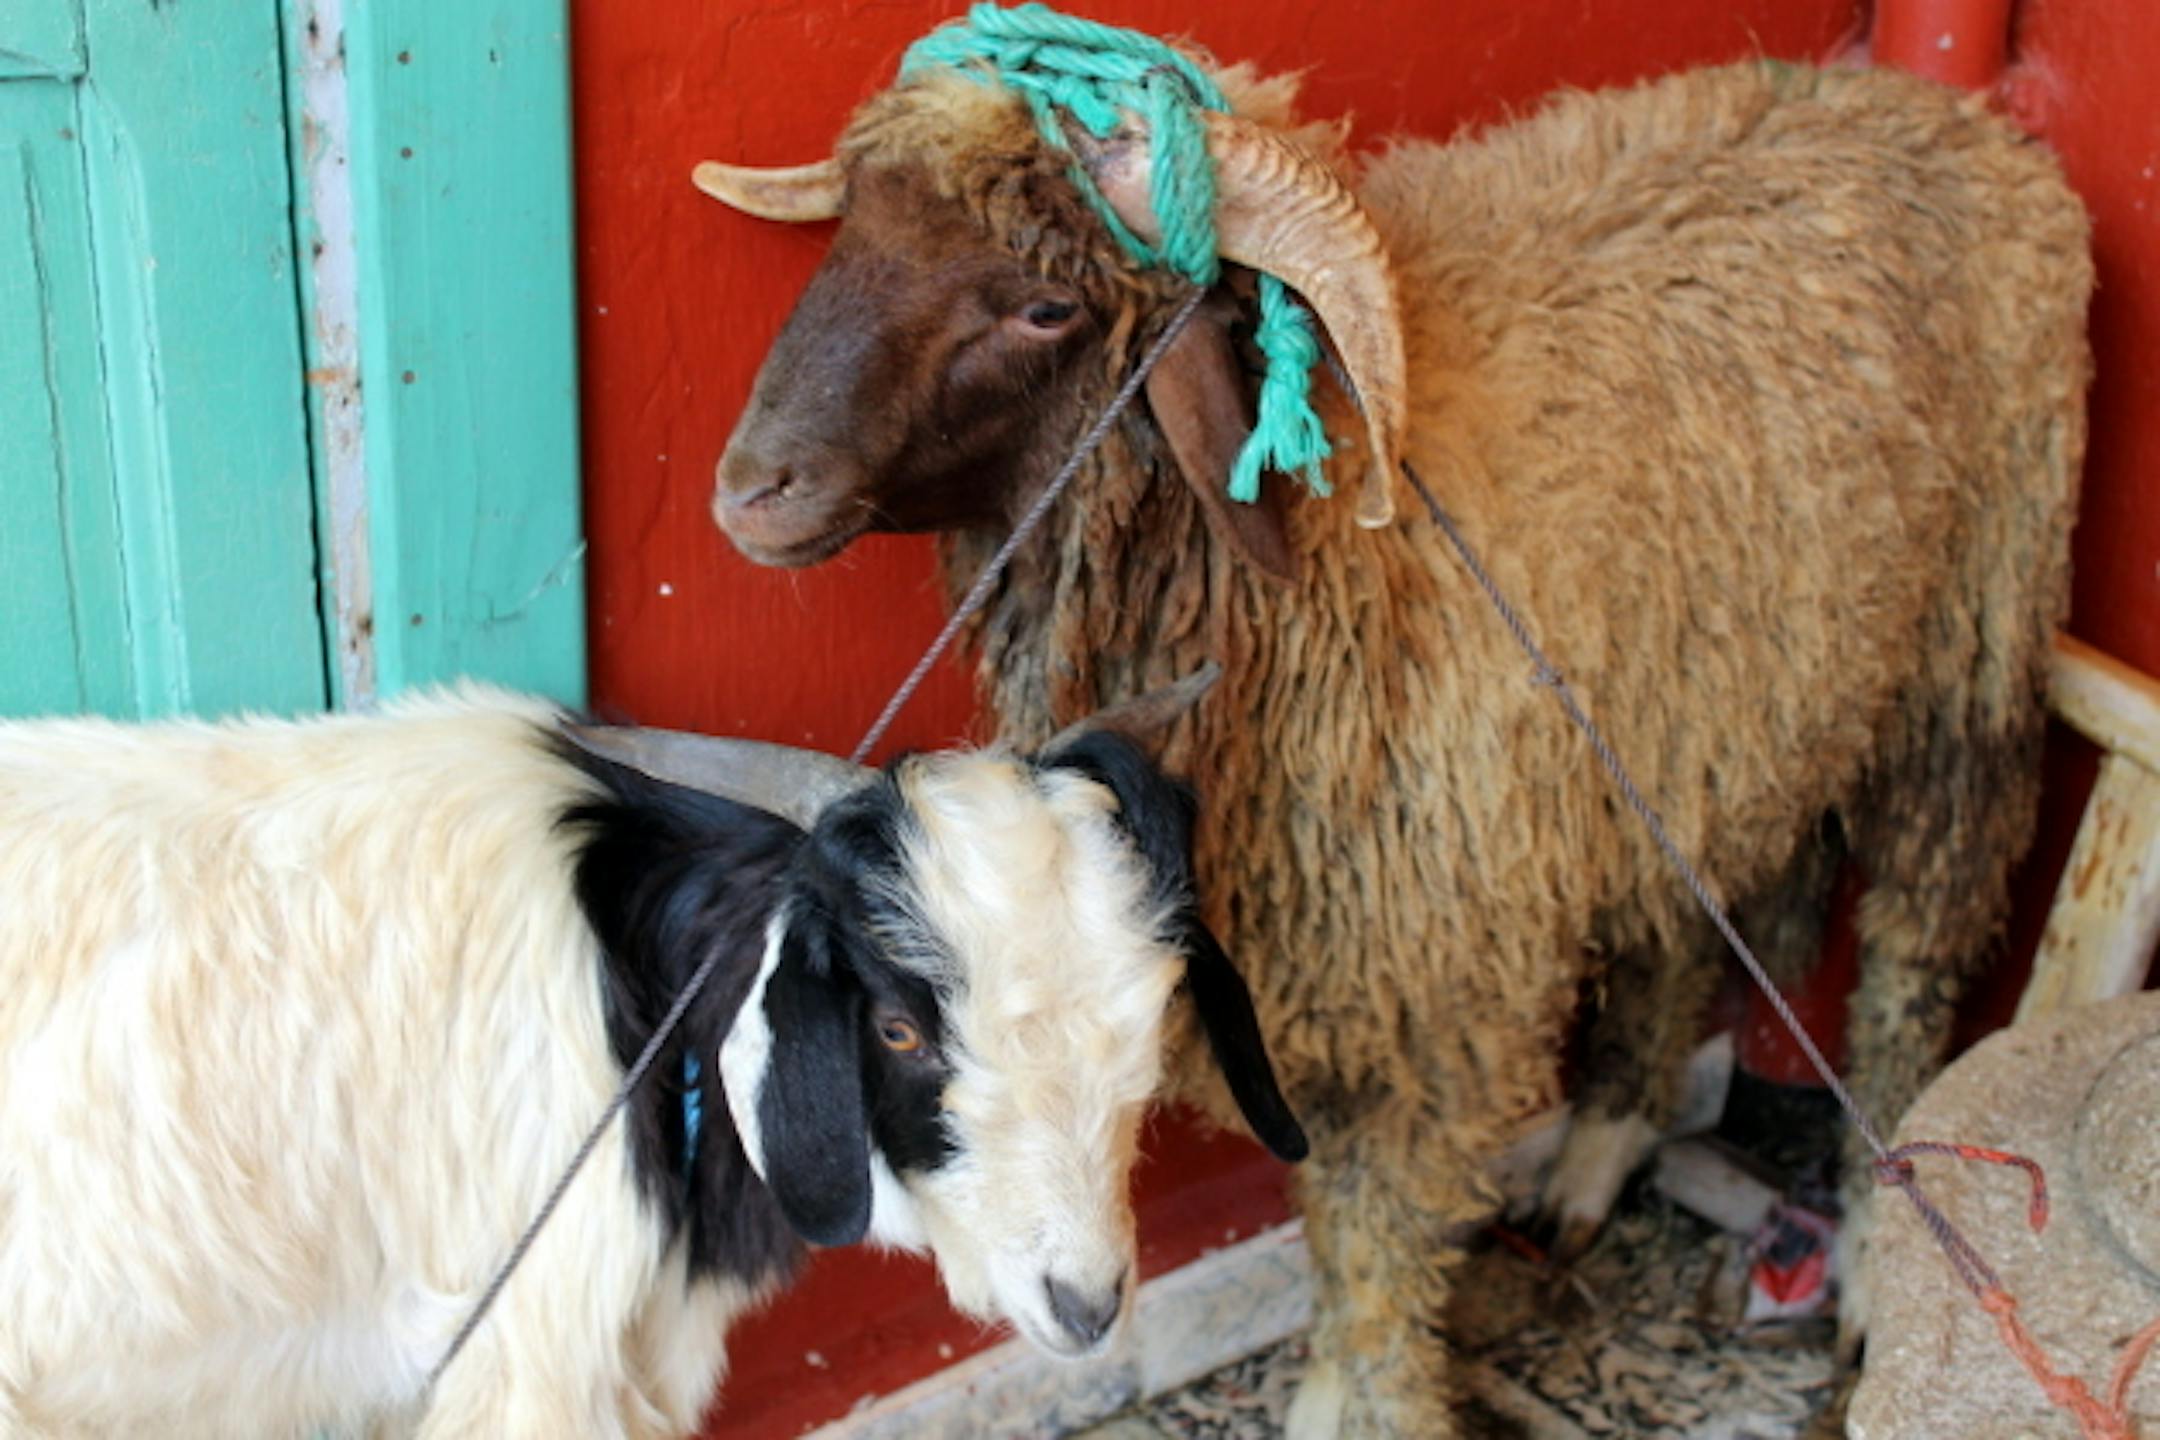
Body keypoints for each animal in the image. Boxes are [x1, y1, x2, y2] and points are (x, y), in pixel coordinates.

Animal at [694, 39, 2092, 1438]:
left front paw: (1365, 1399)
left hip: (1968, 660)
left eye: (1044, 306)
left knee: (1913, 961)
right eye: (853, 233)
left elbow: (1379, 1233)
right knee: (1684, 923)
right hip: (1704, 714)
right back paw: (1599, 1156)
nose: (751, 493)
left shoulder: (1437, 978)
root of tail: (1941, 112)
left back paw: (1871, 1251)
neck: (1317, 550)